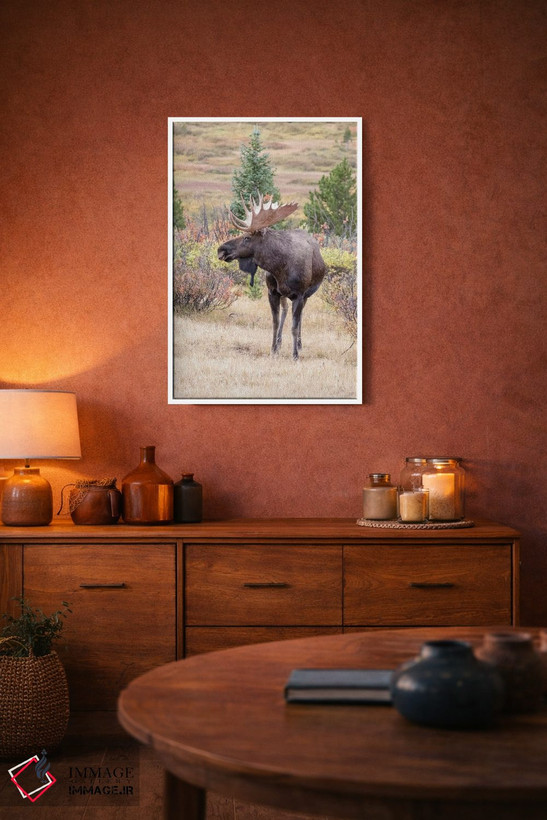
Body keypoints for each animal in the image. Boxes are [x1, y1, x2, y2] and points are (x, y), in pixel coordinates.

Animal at [217, 195, 326, 360]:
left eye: (247, 237)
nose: (221, 250)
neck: (280, 267)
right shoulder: (272, 292)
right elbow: (275, 322)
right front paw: (273, 349)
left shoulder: (300, 294)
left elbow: (294, 326)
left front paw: (295, 355)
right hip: (284, 294)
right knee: (285, 310)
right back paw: (280, 342)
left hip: (307, 294)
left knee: (300, 316)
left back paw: (299, 345)